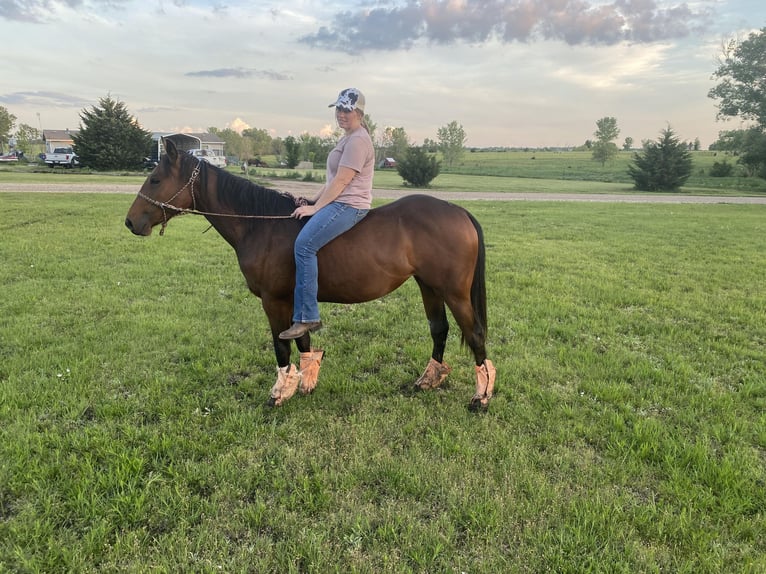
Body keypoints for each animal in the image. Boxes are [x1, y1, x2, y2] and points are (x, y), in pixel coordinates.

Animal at [124, 138, 498, 410]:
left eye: (155, 179)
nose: (130, 222)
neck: (261, 225)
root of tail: (457, 210)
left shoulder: (273, 301)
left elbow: (281, 346)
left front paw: (279, 393)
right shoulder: (294, 301)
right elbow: (302, 340)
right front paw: (305, 383)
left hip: (454, 292)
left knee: (475, 334)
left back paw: (481, 397)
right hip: (429, 287)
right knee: (439, 330)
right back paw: (429, 379)